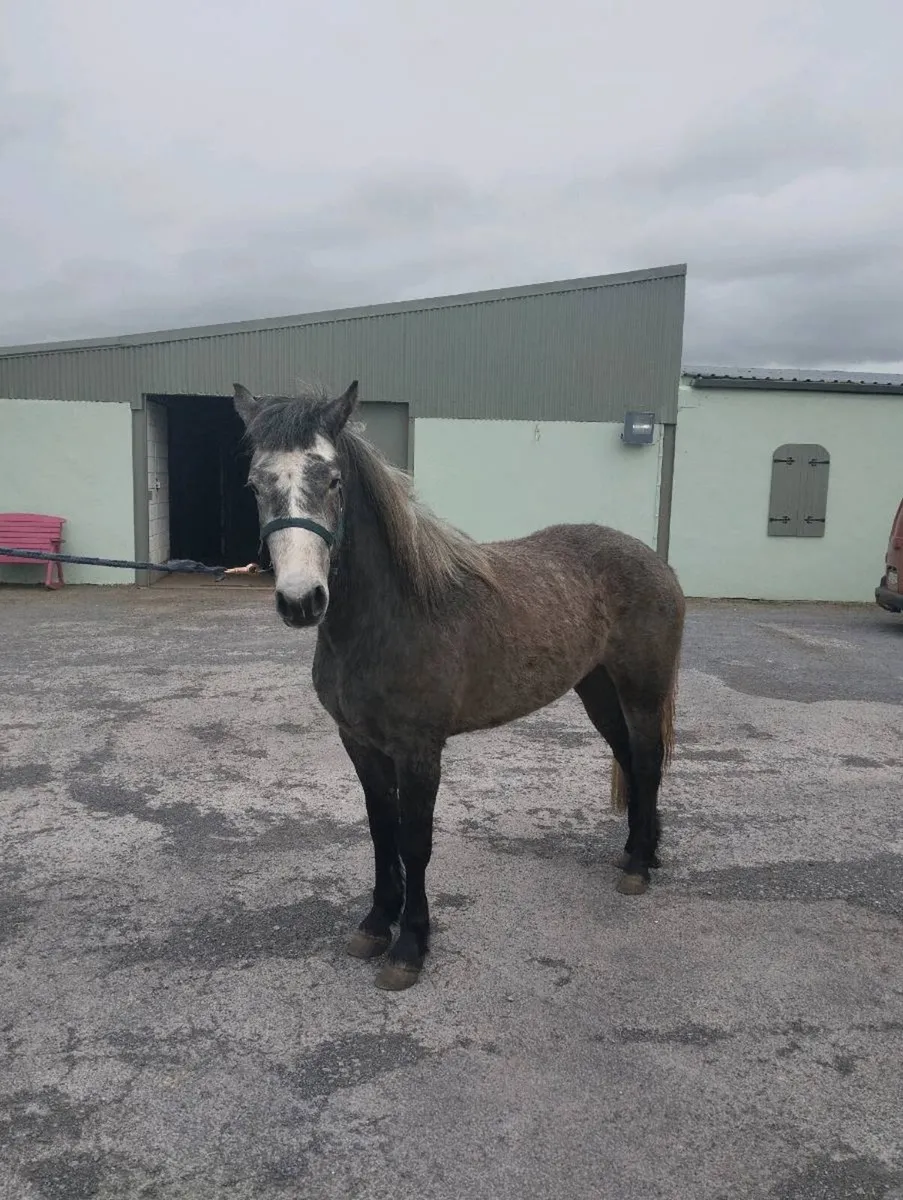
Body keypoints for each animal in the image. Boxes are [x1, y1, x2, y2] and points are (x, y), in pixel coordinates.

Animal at [233, 381, 686, 991]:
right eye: (255, 484)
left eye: (333, 480)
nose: (302, 600)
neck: (392, 614)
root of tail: (655, 562)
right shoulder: (360, 744)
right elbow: (381, 831)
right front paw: (375, 924)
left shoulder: (419, 750)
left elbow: (415, 841)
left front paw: (409, 947)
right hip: (597, 690)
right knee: (630, 758)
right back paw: (639, 850)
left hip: (640, 689)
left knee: (647, 759)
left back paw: (638, 867)